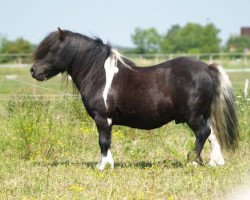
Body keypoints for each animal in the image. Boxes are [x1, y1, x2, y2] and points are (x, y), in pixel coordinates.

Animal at [31, 28, 238, 170]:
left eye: (50, 50)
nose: (33, 71)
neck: (98, 74)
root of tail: (208, 68)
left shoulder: (102, 118)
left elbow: (103, 141)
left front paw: (103, 166)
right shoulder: (106, 120)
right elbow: (107, 141)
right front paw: (108, 164)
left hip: (193, 116)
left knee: (203, 133)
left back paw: (192, 161)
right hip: (204, 114)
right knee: (212, 135)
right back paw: (214, 162)